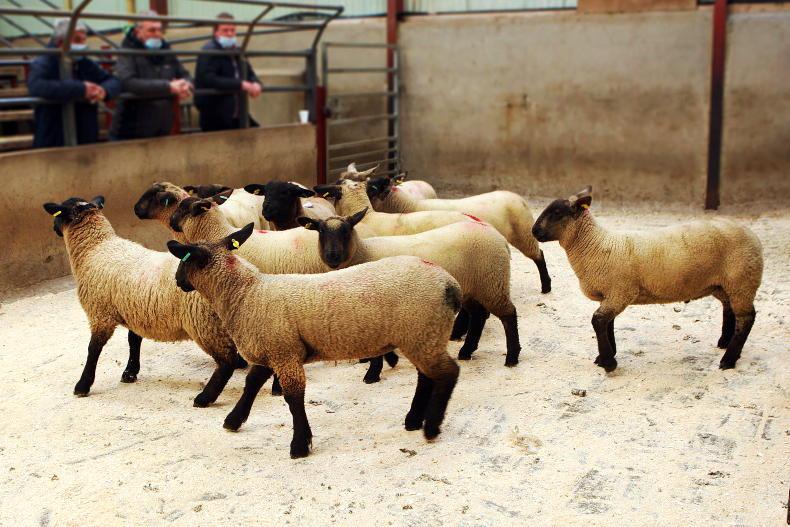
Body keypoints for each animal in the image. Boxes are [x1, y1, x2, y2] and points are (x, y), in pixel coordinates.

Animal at [41, 196, 246, 407]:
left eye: (59, 213)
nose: (53, 228)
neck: (96, 248)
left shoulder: (100, 313)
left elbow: (93, 349)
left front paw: (83, 385)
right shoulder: (134, 310)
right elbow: (134, 340)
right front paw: (130, 372)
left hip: (205, 324)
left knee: (226, 363)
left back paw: (205, 397)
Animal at [166, 224, 462, 458]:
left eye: (184, 261)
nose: (177, 281)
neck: (246, 293)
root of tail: (450, 284)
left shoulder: (284, 353)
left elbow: (293, 398)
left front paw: (299, 445)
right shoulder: (269, 350)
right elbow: (251, 385)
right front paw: (234, 420)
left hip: (423, 331)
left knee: (448, 373)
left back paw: (431, 426)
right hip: (422, 336)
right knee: (427, 376)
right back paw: (414, 420)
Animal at [298, 208, 522, 372]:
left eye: (346, 230)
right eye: (320, 231)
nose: (332, 256)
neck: (364, 251)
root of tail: (499, 237)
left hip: (493, 282)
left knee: (508, 315)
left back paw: (511, 357)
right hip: (474, 286)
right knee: (478, 315)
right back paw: (466, 351)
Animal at [365, 175, 552, 294]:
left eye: (372, 189)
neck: (409, 205)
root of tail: (518, 197)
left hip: (523, 232)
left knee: (539, 256)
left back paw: (546, 287)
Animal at [531, 186, 763, 372]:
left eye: (557, 213)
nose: (533, 231)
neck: (596, 245)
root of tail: (753, 235)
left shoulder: (620, 292)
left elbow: (598, 321)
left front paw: (608, 362)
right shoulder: (611, 294)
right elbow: (607, 324)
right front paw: (606, 356)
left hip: (742, 282)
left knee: (746, 318)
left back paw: (728, 359)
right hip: (725, 284)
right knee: (729, 309)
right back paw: (724, 342)